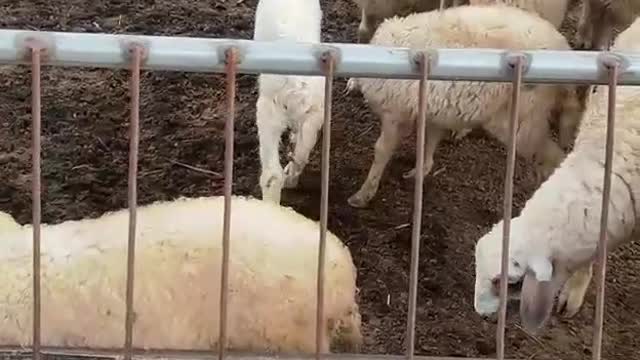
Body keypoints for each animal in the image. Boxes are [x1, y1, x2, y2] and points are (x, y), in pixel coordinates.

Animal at [254, 0, 328, 204]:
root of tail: (297, 84)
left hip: (268, 113)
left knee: (271, 174)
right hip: (314, 116)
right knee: (301, 155)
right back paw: (291, 180)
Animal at [344, 4, 584, 208]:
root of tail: (562, 46)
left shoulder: (395, 112)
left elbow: (381, 151)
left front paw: (363, 195)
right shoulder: (433, 109)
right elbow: (429, 140)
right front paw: (421, 170)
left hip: (523, 119)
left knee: (553, 159)